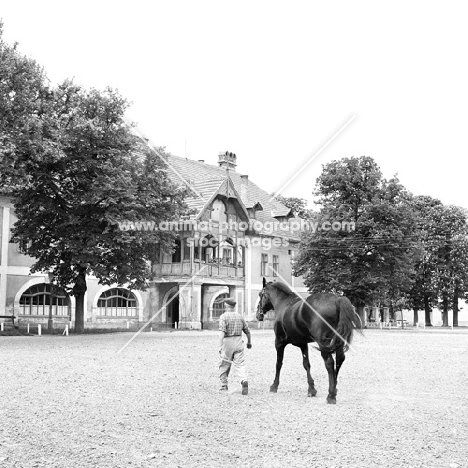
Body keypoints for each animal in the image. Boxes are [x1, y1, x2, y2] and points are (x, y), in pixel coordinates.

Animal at [256, 276, 362, 404]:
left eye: (260, 294)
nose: (258, 314)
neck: (283, 303)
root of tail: (337, 299)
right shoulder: (303, 344)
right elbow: (306, 364)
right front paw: (311, 389)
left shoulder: (279, 342)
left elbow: (279, 363)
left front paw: (274, 386)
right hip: (338, 342)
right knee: (339, 359)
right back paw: (334, 389)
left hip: (324, 343)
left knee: (329, 363)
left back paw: (331, 395)